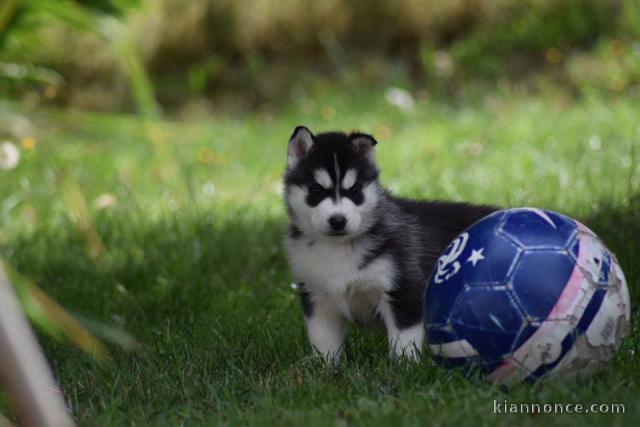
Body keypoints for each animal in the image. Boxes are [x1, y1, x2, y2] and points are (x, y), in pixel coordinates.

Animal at [282, 125, 498, 362]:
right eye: (317, 190)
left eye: (355, 190)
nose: (338, 220)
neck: (338, 249)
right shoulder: (317, 298)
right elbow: (324, 340)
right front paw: (325, 366)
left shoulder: (403, 289)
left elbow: (403, 340)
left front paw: (404, 365)